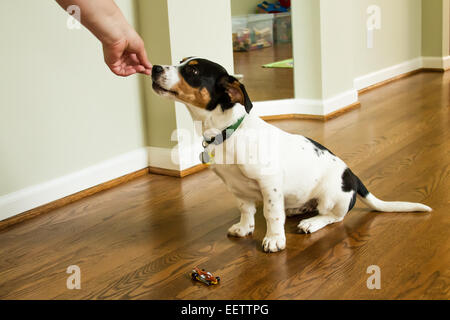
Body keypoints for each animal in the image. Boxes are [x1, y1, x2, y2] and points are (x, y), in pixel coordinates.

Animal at [152, 57, 432, 252]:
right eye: (180, 61)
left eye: (193, 71)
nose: (154, 67)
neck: (227, 132)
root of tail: (353, 177)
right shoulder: (236, 187)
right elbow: (246, 210)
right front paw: (245, 228)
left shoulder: (269, 182)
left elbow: (272, 213)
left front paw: (274, 239)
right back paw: (299, 209)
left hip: (331, 196)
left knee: (335, 217)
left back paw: (312, 223)